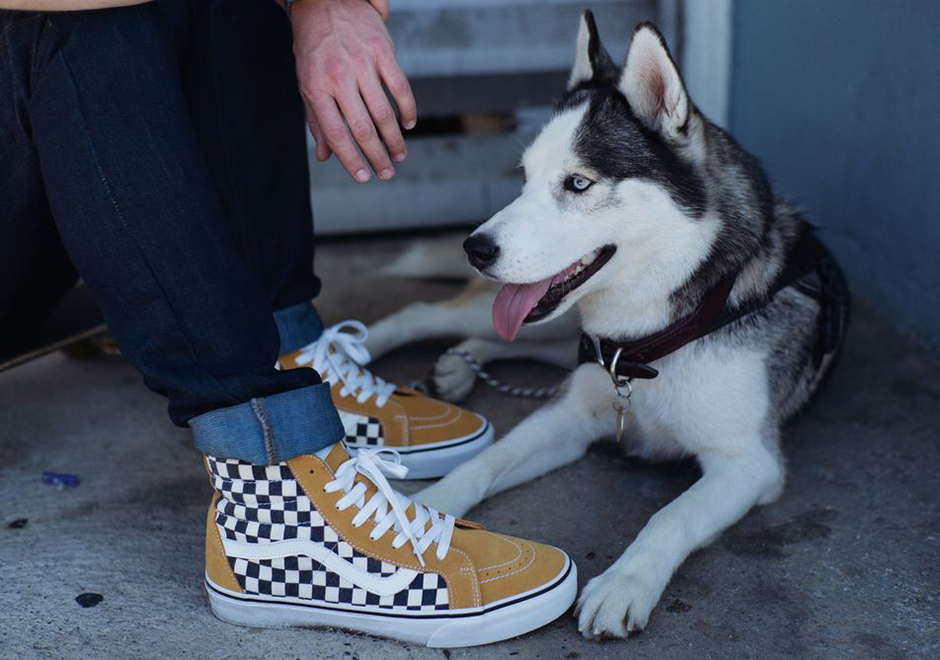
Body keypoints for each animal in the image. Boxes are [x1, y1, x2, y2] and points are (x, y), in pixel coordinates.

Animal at [408, 11, 848, 640]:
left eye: (578, 184)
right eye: (523, 178)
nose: (476, 248)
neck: (649, 340)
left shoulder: (748, 463)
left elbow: (671, 515)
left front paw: (624, 584)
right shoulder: (571, 415)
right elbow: (485, 462)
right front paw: (420, 511)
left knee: (499, 340)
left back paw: (456, 368)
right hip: (540, 323)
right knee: (425, 315)